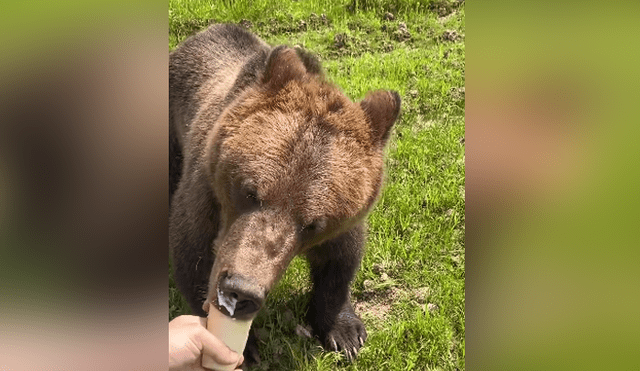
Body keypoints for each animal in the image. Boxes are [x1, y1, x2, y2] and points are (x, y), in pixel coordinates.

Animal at [170, 24, 400, 366]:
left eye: (313, 224)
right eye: (250, 192)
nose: (242, 291)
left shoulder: (341, 223)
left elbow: (341, 260)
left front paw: (345, 333)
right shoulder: (205, 192)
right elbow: (192, 254)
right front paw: (244, 347)